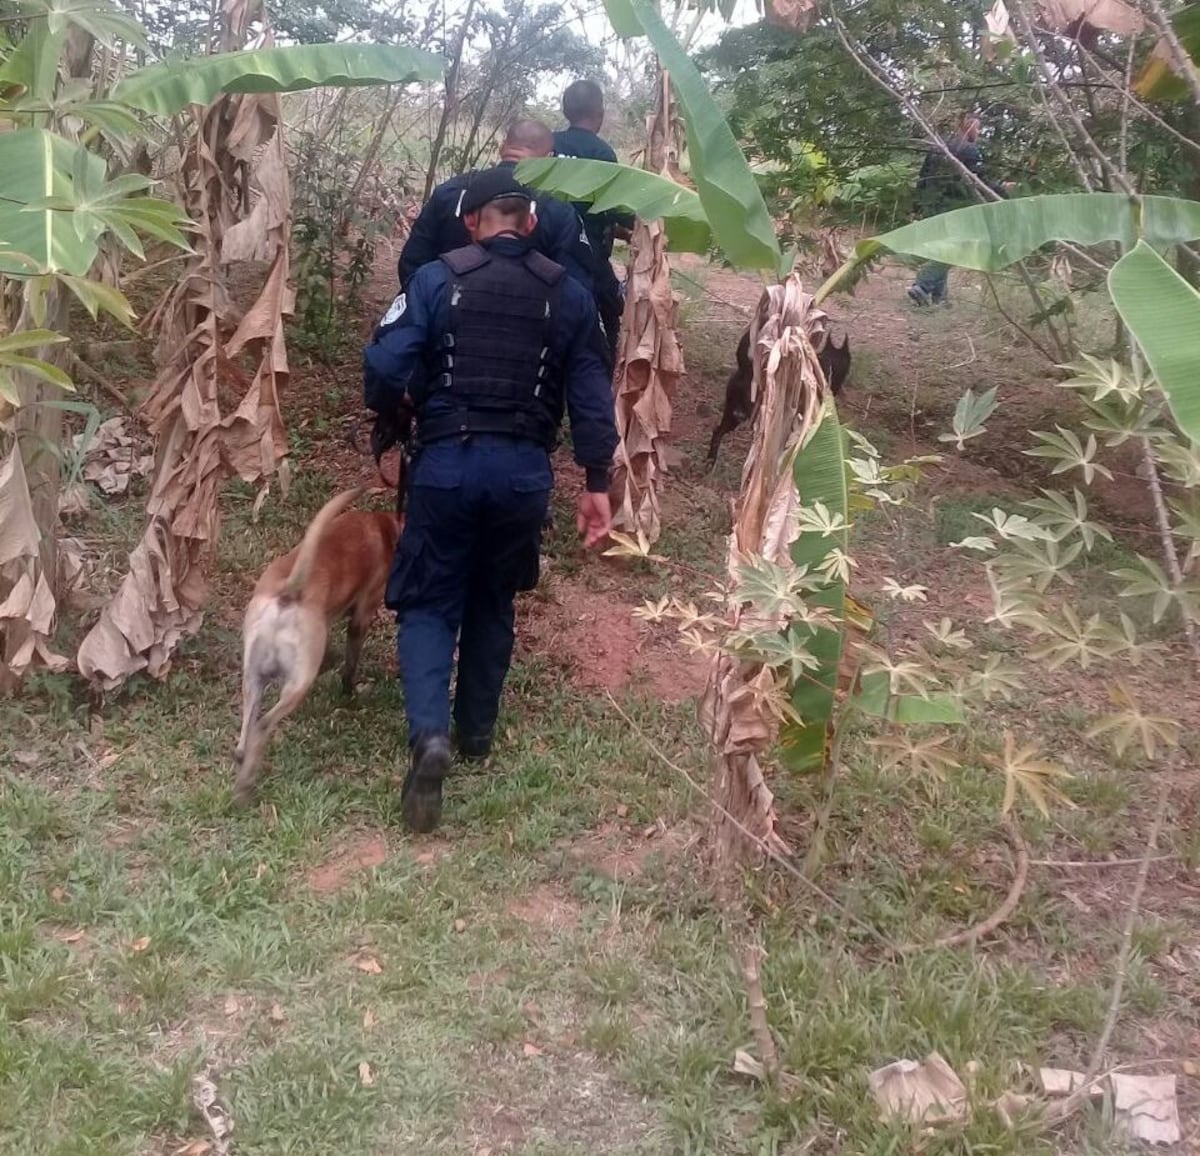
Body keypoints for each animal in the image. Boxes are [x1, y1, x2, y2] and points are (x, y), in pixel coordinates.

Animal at [234, 487, 403, 806]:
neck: (383, 526)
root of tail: (289, 594)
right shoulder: (362, 616)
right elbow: (350, 663)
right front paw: (350, 691)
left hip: (253, 677)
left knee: (247, 727)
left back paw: (242, 763)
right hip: (298, 681)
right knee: (263, 724)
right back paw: (247, 784)